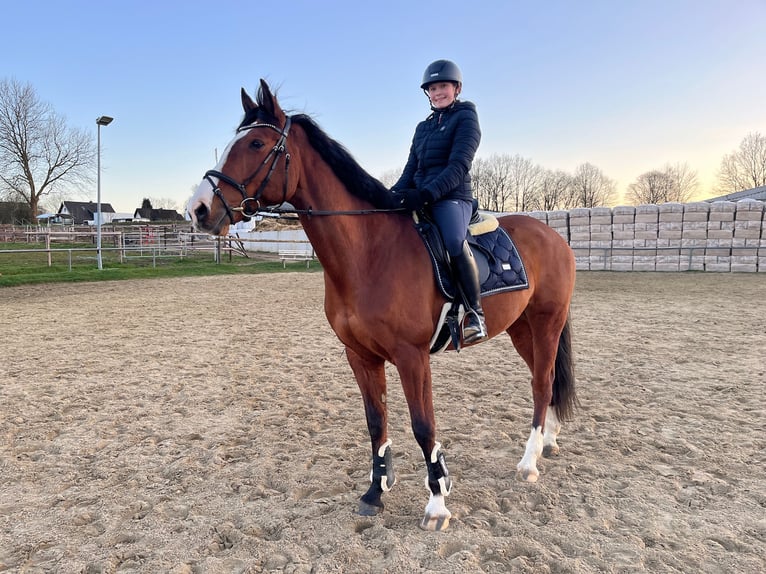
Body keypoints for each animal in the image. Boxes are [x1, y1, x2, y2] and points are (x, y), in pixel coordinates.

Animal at [190, 79, 576, 532]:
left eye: (255, 143)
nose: (198, 209)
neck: (369, 252)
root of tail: (552, 236)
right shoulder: (360, 355)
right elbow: (376, 421)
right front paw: (376, 491)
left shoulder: (412, 357)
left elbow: (423, 426)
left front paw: (437, 503)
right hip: (521, 328)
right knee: (544, 379)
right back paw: (548, 442)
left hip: (547, 322)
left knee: (541, 383)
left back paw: (529, 462)